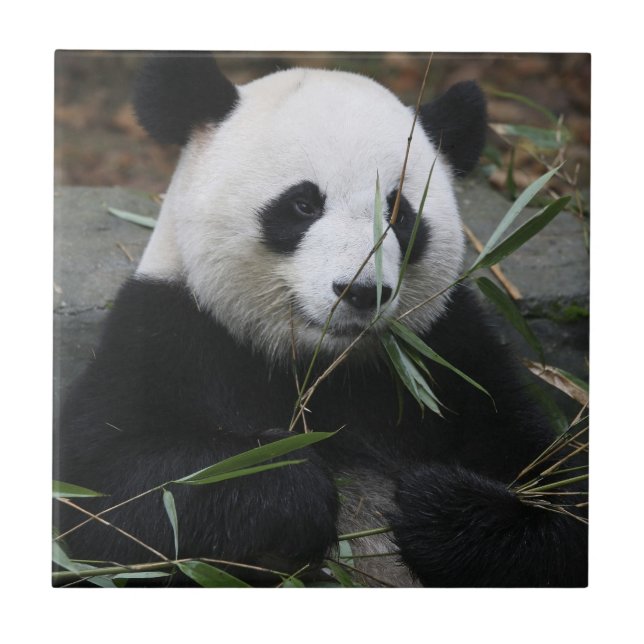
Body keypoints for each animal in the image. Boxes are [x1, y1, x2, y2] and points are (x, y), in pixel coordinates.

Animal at [56, 54, 588, 587]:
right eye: (303, 204)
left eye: (399, 213)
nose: (361, 291)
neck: (324, 368)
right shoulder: (168, 334)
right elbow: (110, 499)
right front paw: (290, 486)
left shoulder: (450, 353)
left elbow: (560, 494)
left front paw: (437, 508)